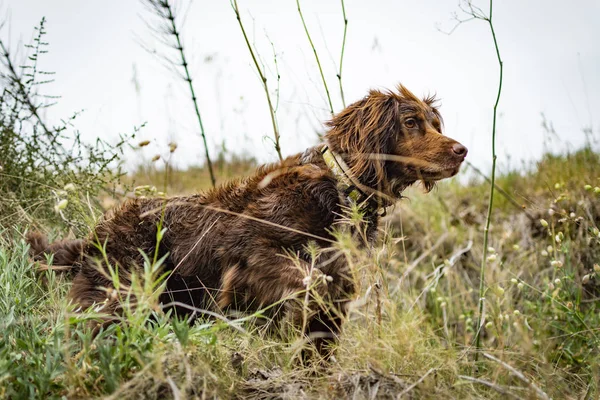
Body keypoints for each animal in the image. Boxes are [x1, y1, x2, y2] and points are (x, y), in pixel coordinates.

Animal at [29, 84, 468, 354]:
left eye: (435, 123)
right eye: (410, 123)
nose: (461, 151)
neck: (336, 188)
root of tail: (91, 239)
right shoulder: (246, 250)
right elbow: (310, 281)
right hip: (126, 290)